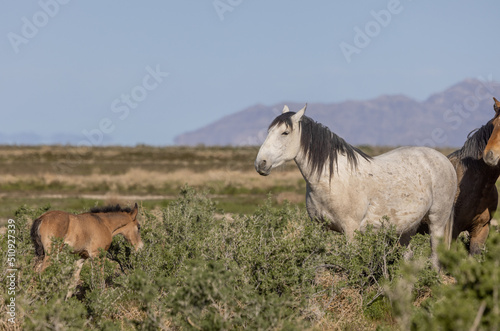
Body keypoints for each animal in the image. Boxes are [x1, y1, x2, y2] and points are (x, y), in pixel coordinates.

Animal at [256, 105, 458, 268]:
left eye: (285, 133)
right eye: (269, 131)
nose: (260, 163)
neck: (332, 180)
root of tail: (444, 160)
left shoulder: (351, 231)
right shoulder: (318, 228)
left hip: (437, 222)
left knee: (435, 257)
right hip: (406, 228)